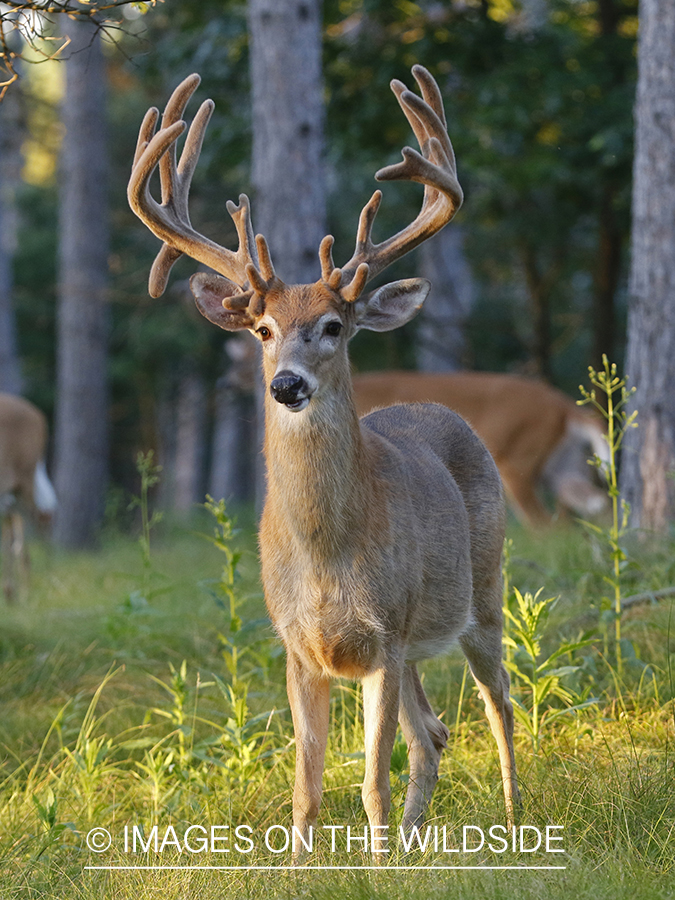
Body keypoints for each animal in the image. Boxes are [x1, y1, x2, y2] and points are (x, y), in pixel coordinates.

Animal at [131, 68, 524, 856]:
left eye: (334, 327)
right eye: (262, 328)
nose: (286, 384)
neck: (325, 552)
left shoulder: (384, 639)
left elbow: (370, 783)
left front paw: (374, 866)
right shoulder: (297, 646)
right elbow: (306, 791)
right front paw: (311, 866)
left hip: (482, 593)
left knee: (499, 702)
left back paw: (513, 820)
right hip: (416, 642)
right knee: (433, 734)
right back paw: (417, 845)